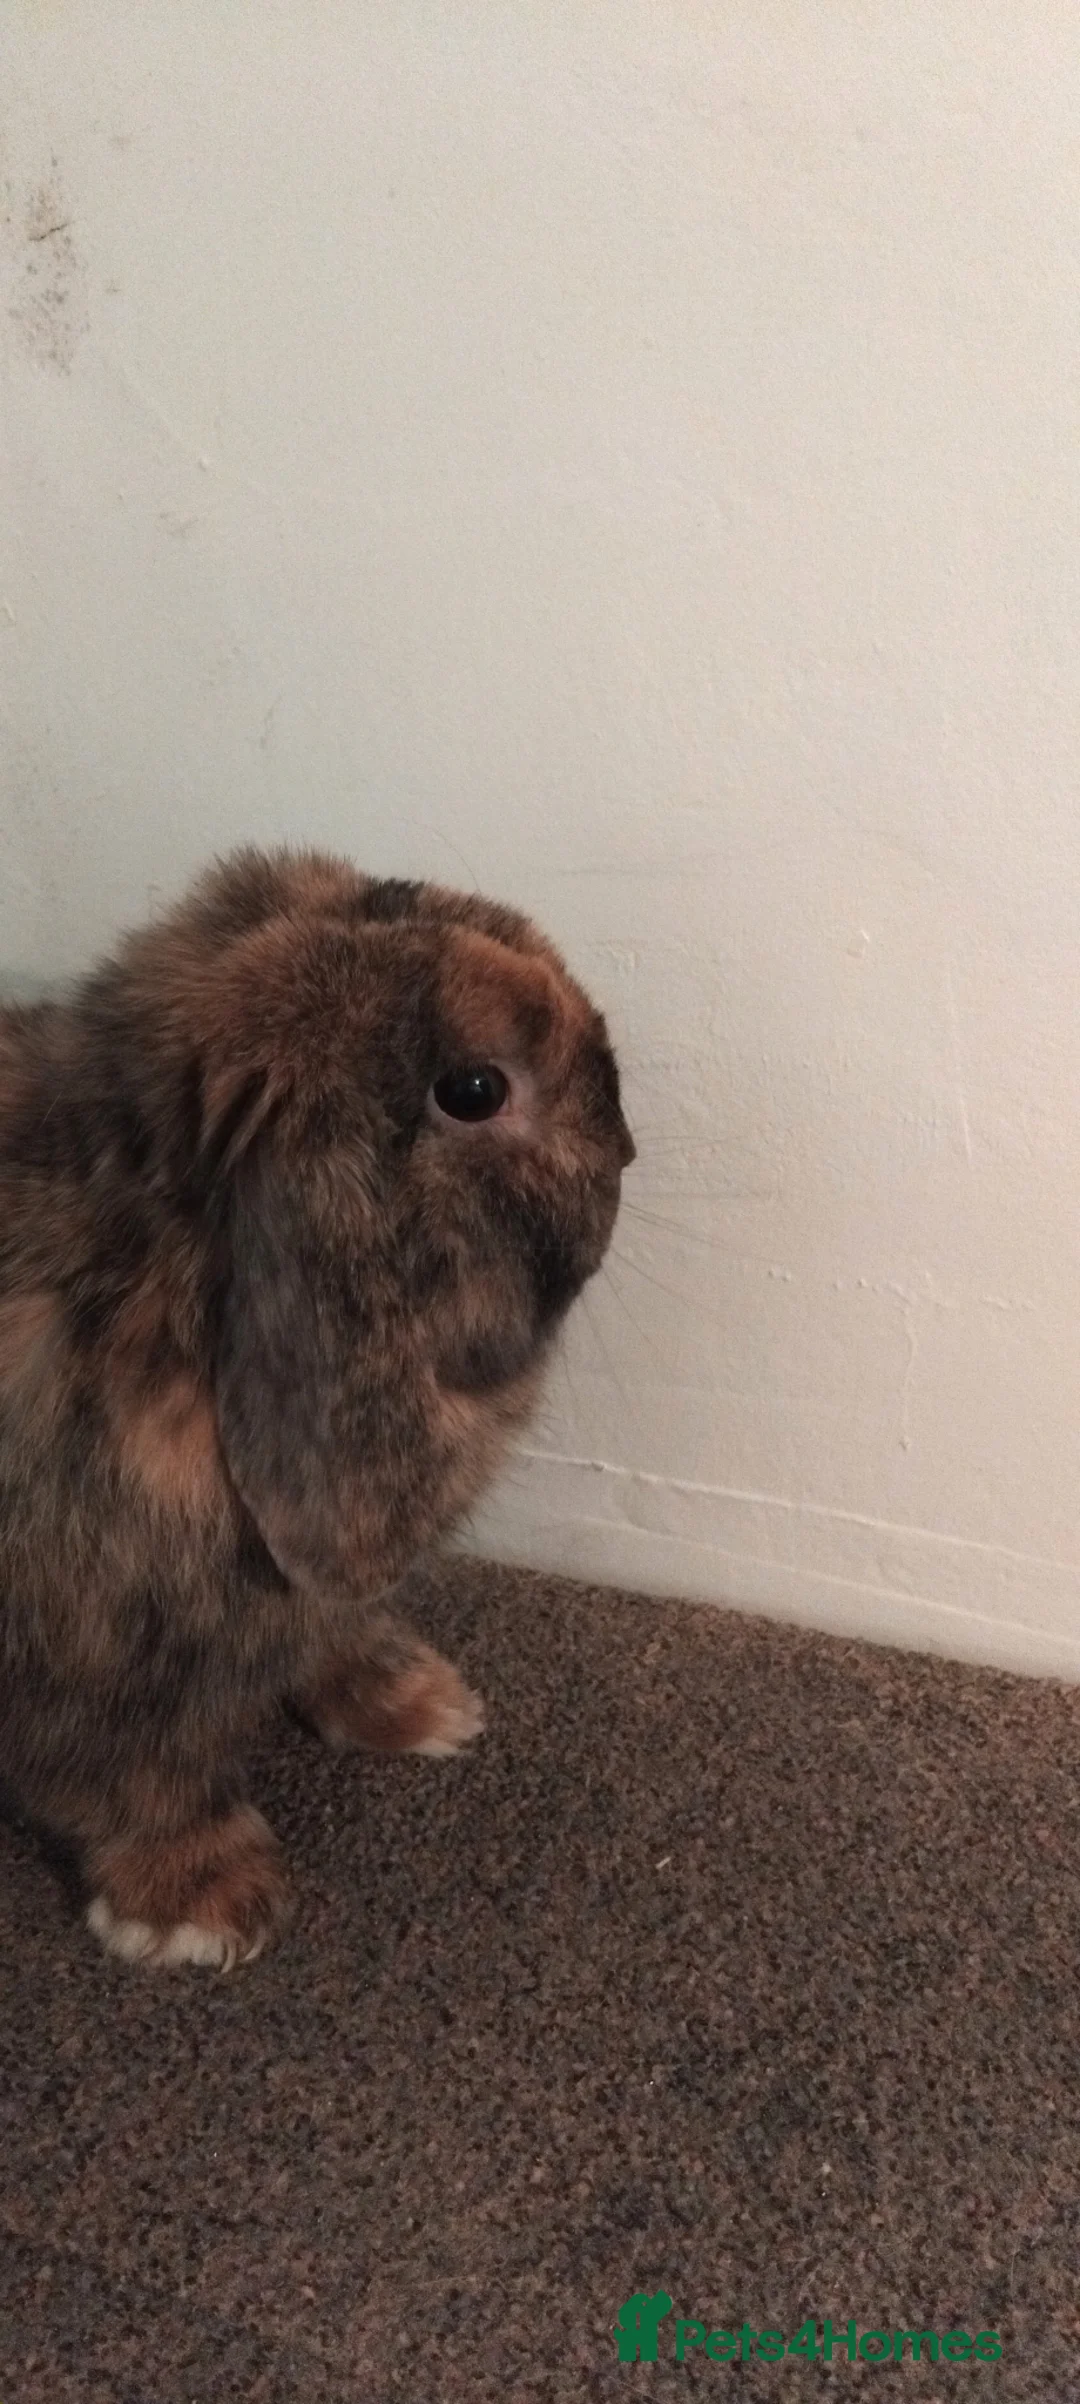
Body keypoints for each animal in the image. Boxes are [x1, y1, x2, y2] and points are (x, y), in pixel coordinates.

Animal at [0, 846, 634, 1970]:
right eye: (474, 1090)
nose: (630, 1142)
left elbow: (335, 1630)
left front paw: (422, 1705)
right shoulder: (91, 1663)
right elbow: (132, 1779)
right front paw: (203, 1907)